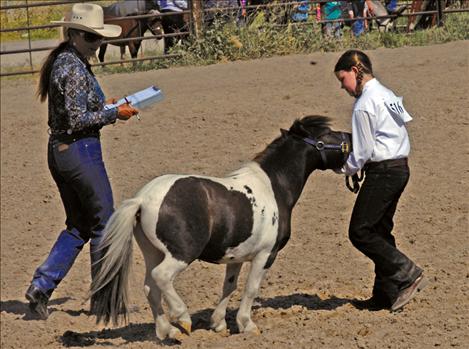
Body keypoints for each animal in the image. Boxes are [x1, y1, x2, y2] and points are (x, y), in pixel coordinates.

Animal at [89, 116, 350, 340]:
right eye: (327, 133)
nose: (349, 137)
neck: (274, 186)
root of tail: (142, 199)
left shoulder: (236, 257)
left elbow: (229, 287)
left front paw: (219, 324)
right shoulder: (266, 254)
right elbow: (251, 288)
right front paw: (247, 325)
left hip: (153, 252)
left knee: (150, 288)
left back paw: (167, 331)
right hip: (182, 254)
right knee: (161, 277)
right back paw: (182, 319)